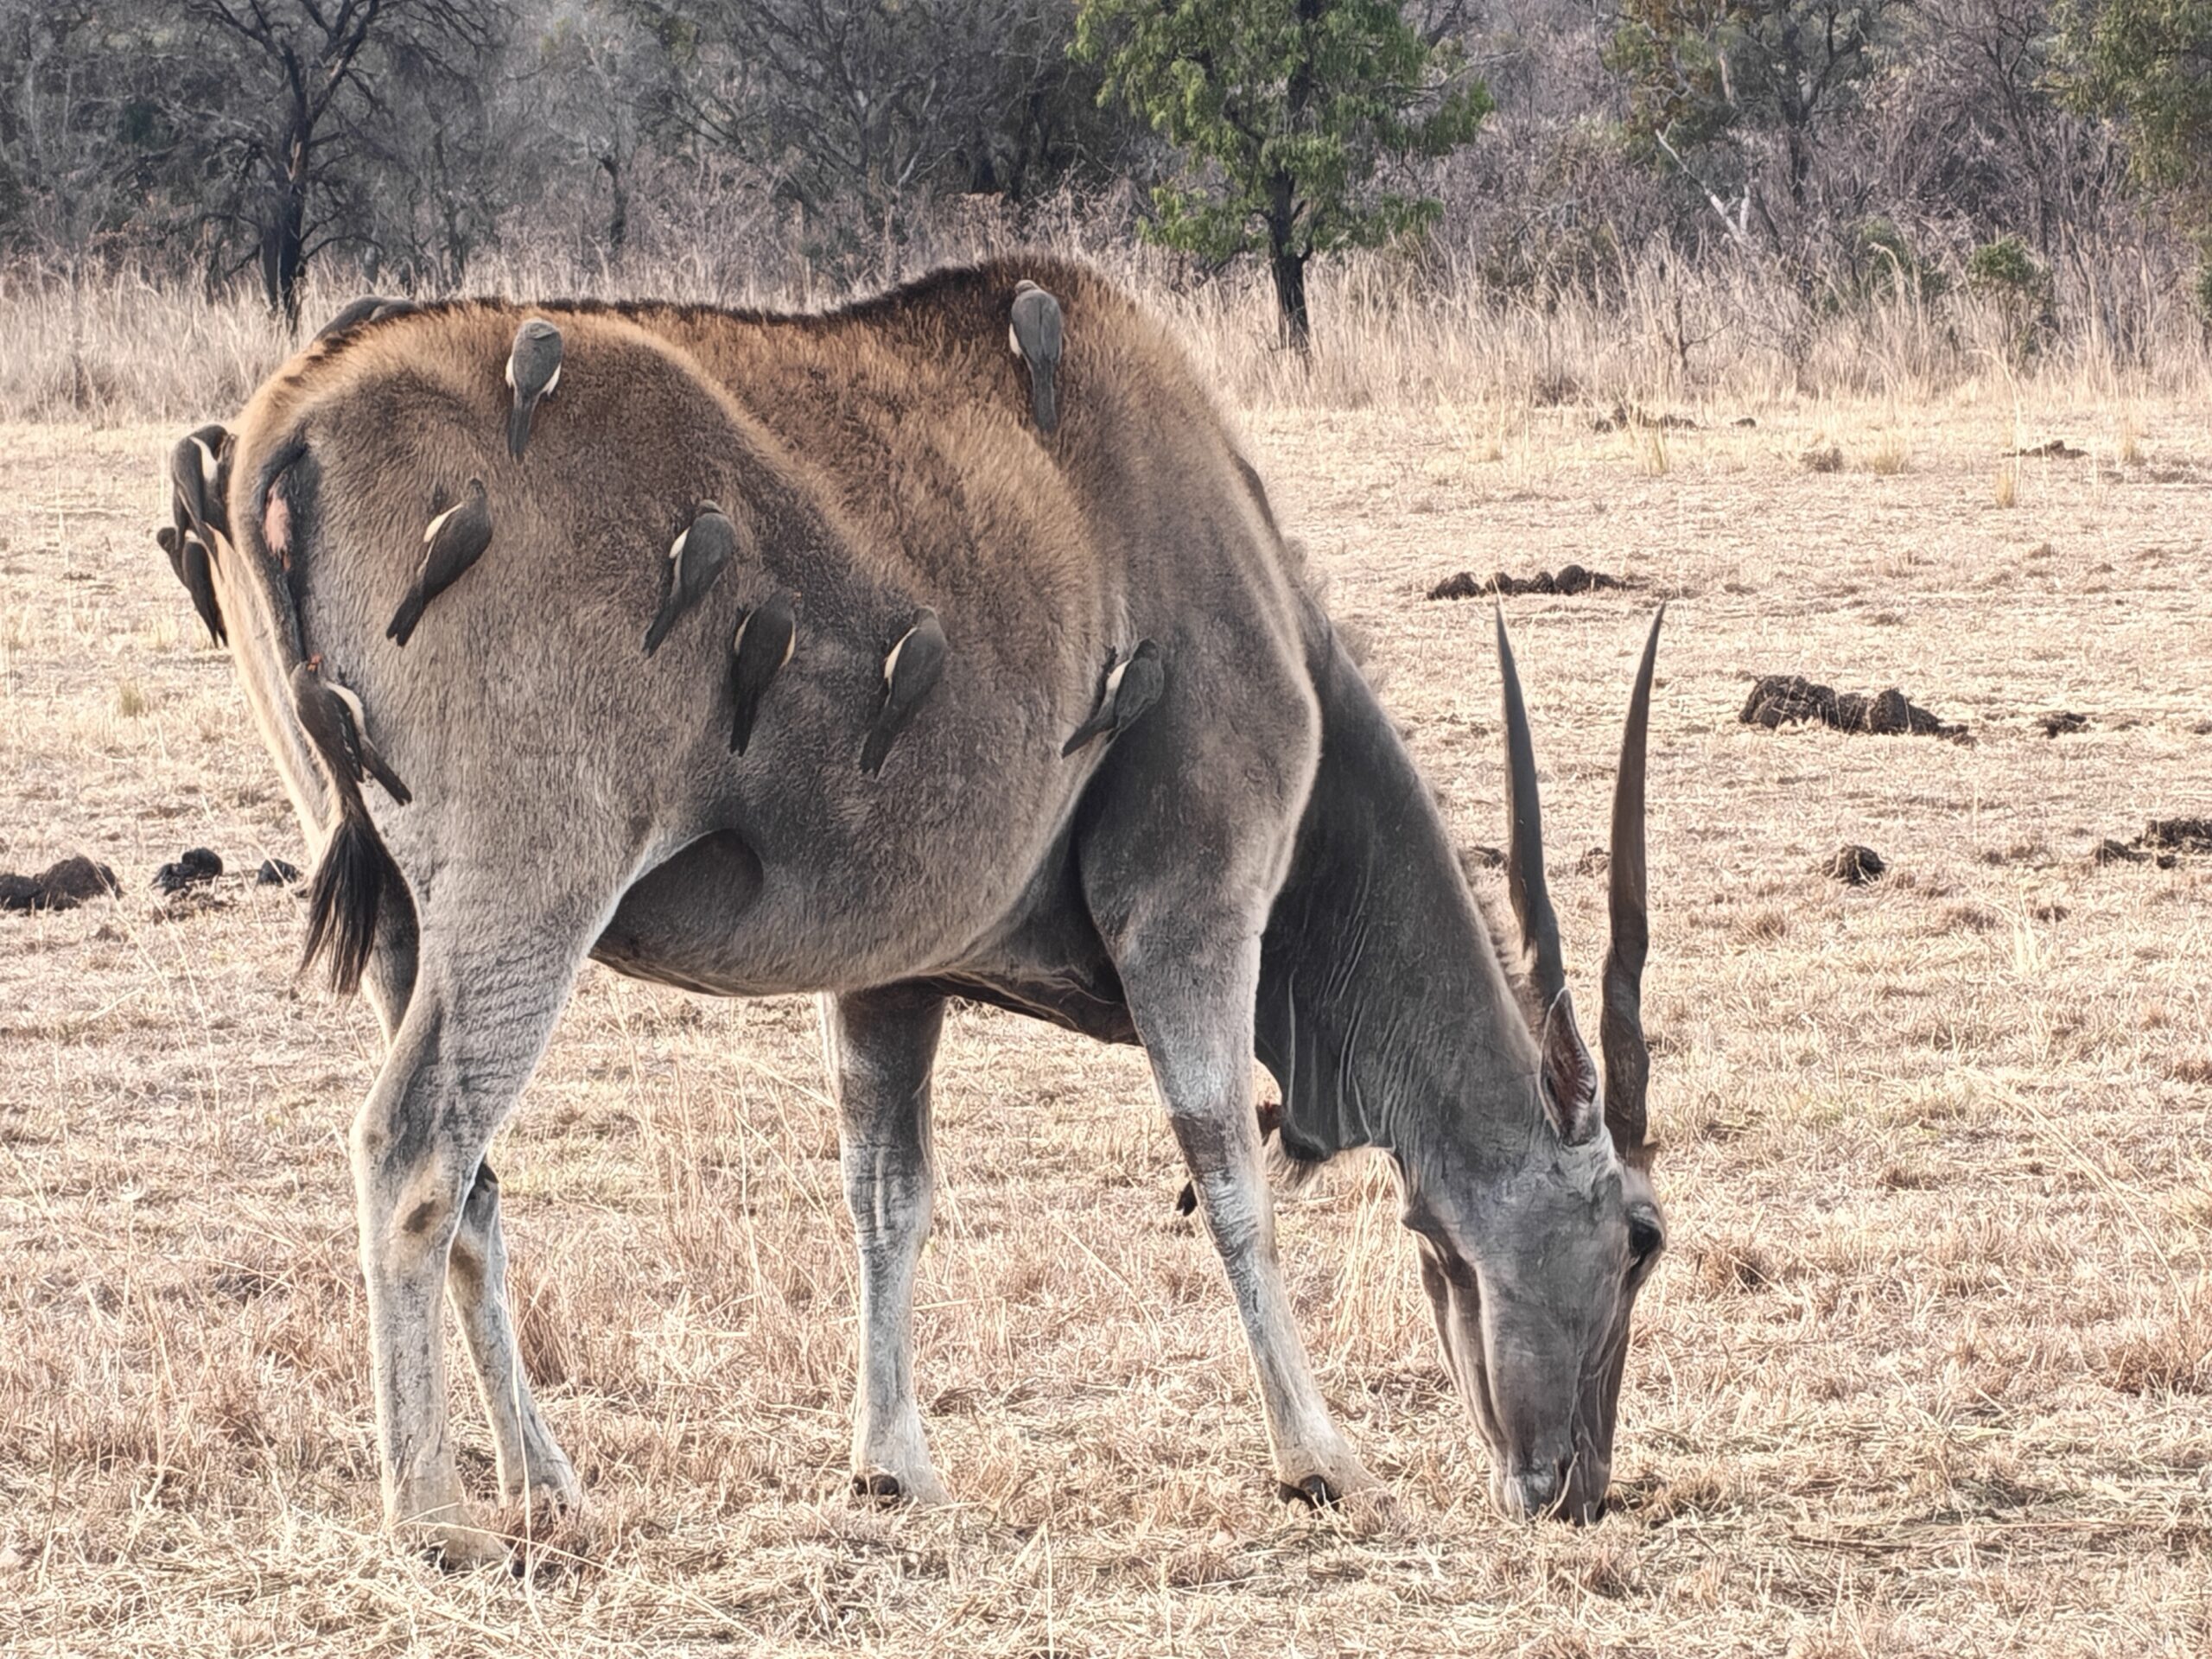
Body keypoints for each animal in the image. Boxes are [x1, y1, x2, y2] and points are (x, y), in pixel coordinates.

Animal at [181, 259, 1666, 1560]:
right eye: (1642, 1240)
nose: (1576, 1486)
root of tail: (284, 423)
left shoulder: (890, 978)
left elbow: (884, 1194)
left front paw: (889, 1463)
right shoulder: (1195, 905)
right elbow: (1223, 1161)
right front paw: (1320, 1457)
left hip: (406, 932)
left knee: (474, 1180)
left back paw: (548, 1482)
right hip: (527, 904)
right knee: (414, 1147)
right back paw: (430, 1514)